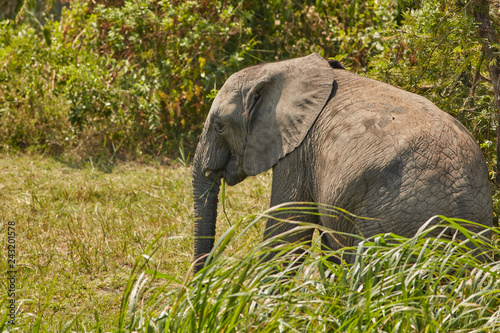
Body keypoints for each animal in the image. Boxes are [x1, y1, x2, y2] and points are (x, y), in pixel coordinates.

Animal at [191, 52, 492, 272]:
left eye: (219, 127)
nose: (198, 286)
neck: (281, 68)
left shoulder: (298, 152)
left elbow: (287, 237)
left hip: (389, 222)